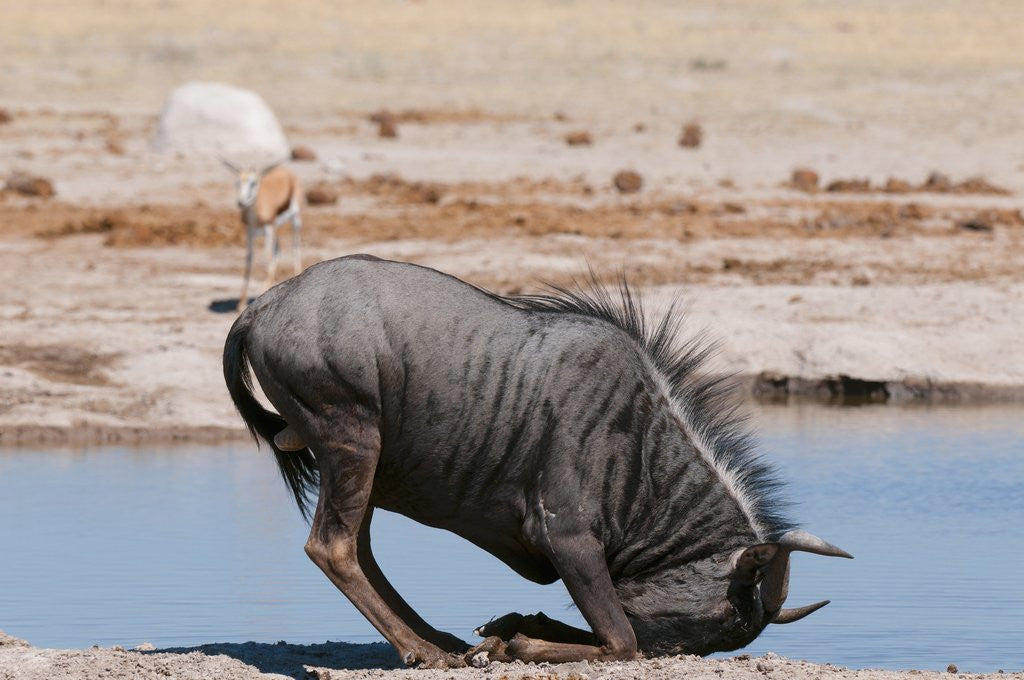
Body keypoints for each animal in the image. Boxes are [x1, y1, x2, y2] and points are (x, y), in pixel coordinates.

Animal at [221, 158, 303, 312]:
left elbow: (267, 257)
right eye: (237, 182)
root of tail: (286, 171)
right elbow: (249, 260)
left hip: (295, 220)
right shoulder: (249, 232)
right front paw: (241, 303)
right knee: (278, 249)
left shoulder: (268, 228)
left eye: (253, 182)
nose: (241, 202)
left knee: (295, 247)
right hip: (276, 229)